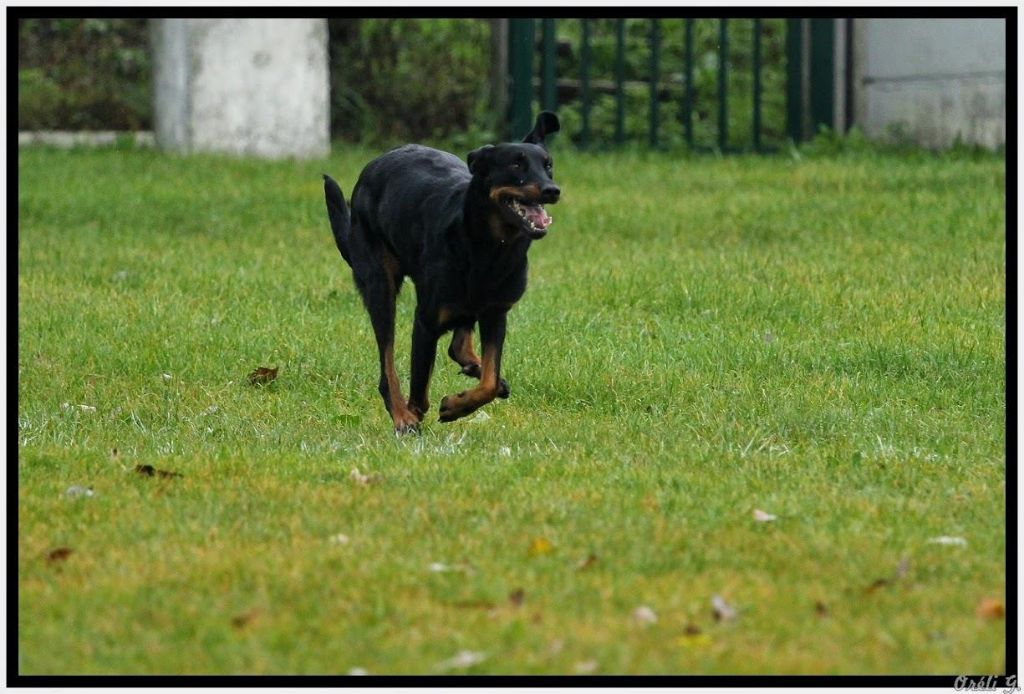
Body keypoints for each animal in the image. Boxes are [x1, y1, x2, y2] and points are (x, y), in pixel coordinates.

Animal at [323, 111, 561, 431]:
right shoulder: (425, 321)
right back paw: (400, 414)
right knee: (387, 367)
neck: (490, 247)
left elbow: (489, 380)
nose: (552, 190)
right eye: (516, 164)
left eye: (548, 166)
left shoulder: (495, 313)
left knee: (460, 346)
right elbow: (419, 385)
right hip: (379, 286)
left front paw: (457, 405)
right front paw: (416, 414)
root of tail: (373, 166)